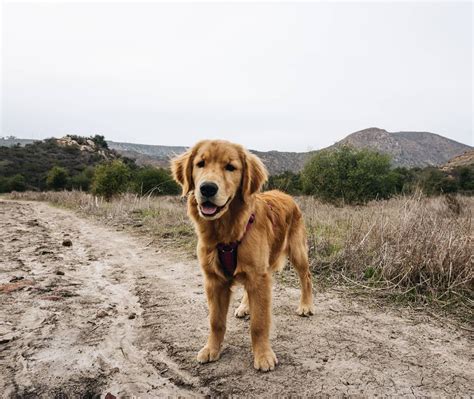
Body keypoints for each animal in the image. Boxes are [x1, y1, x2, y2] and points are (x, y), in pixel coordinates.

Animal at [170, 140, 314, 372]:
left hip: (297, 252)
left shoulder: (259, 277)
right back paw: (245, 307)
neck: (226, 234)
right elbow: (216, 321)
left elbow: (259, 323)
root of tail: (285, 194)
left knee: (306, 277)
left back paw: (306, 306)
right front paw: (211, 349)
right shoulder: (214, 281)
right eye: (200, 164)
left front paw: (263, 355)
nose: (207, 188)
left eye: (231, 167)